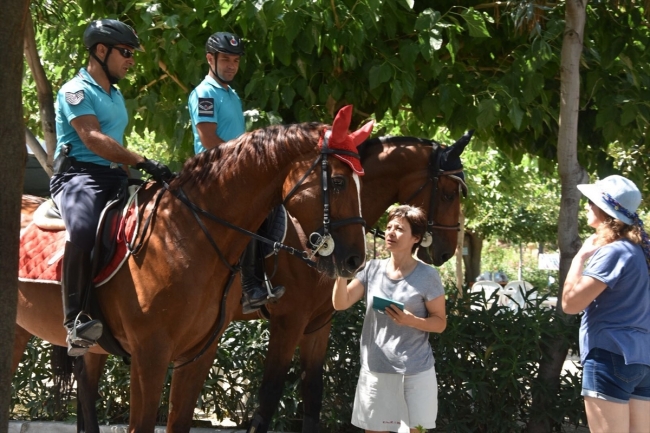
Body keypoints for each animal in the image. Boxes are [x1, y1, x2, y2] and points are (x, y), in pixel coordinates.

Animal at [11, 117, 370, 428]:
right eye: (338, 182)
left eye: (359, 183)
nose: (355, 260)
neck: (183, 235)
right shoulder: (150, 356)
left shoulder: (198, 355)